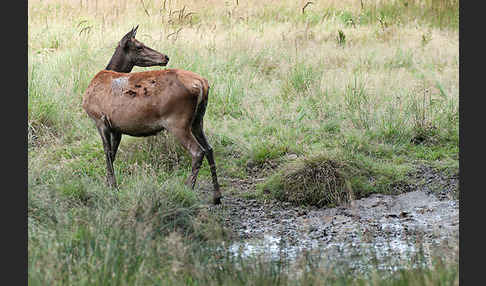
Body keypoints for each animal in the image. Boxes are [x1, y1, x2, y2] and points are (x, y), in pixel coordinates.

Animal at [82, 26, 222, 203]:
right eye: (139, 46)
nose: (165, 57)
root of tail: (202, 84)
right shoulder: (117, 127)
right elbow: (112, 154)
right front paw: (109, 184)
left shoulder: (100, 120)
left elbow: (107, 154)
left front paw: (112, 187)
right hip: (198, 120)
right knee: (209, 148)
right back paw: (217, 195)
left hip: (177, 121)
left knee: (197, 151)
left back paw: (187, 190)